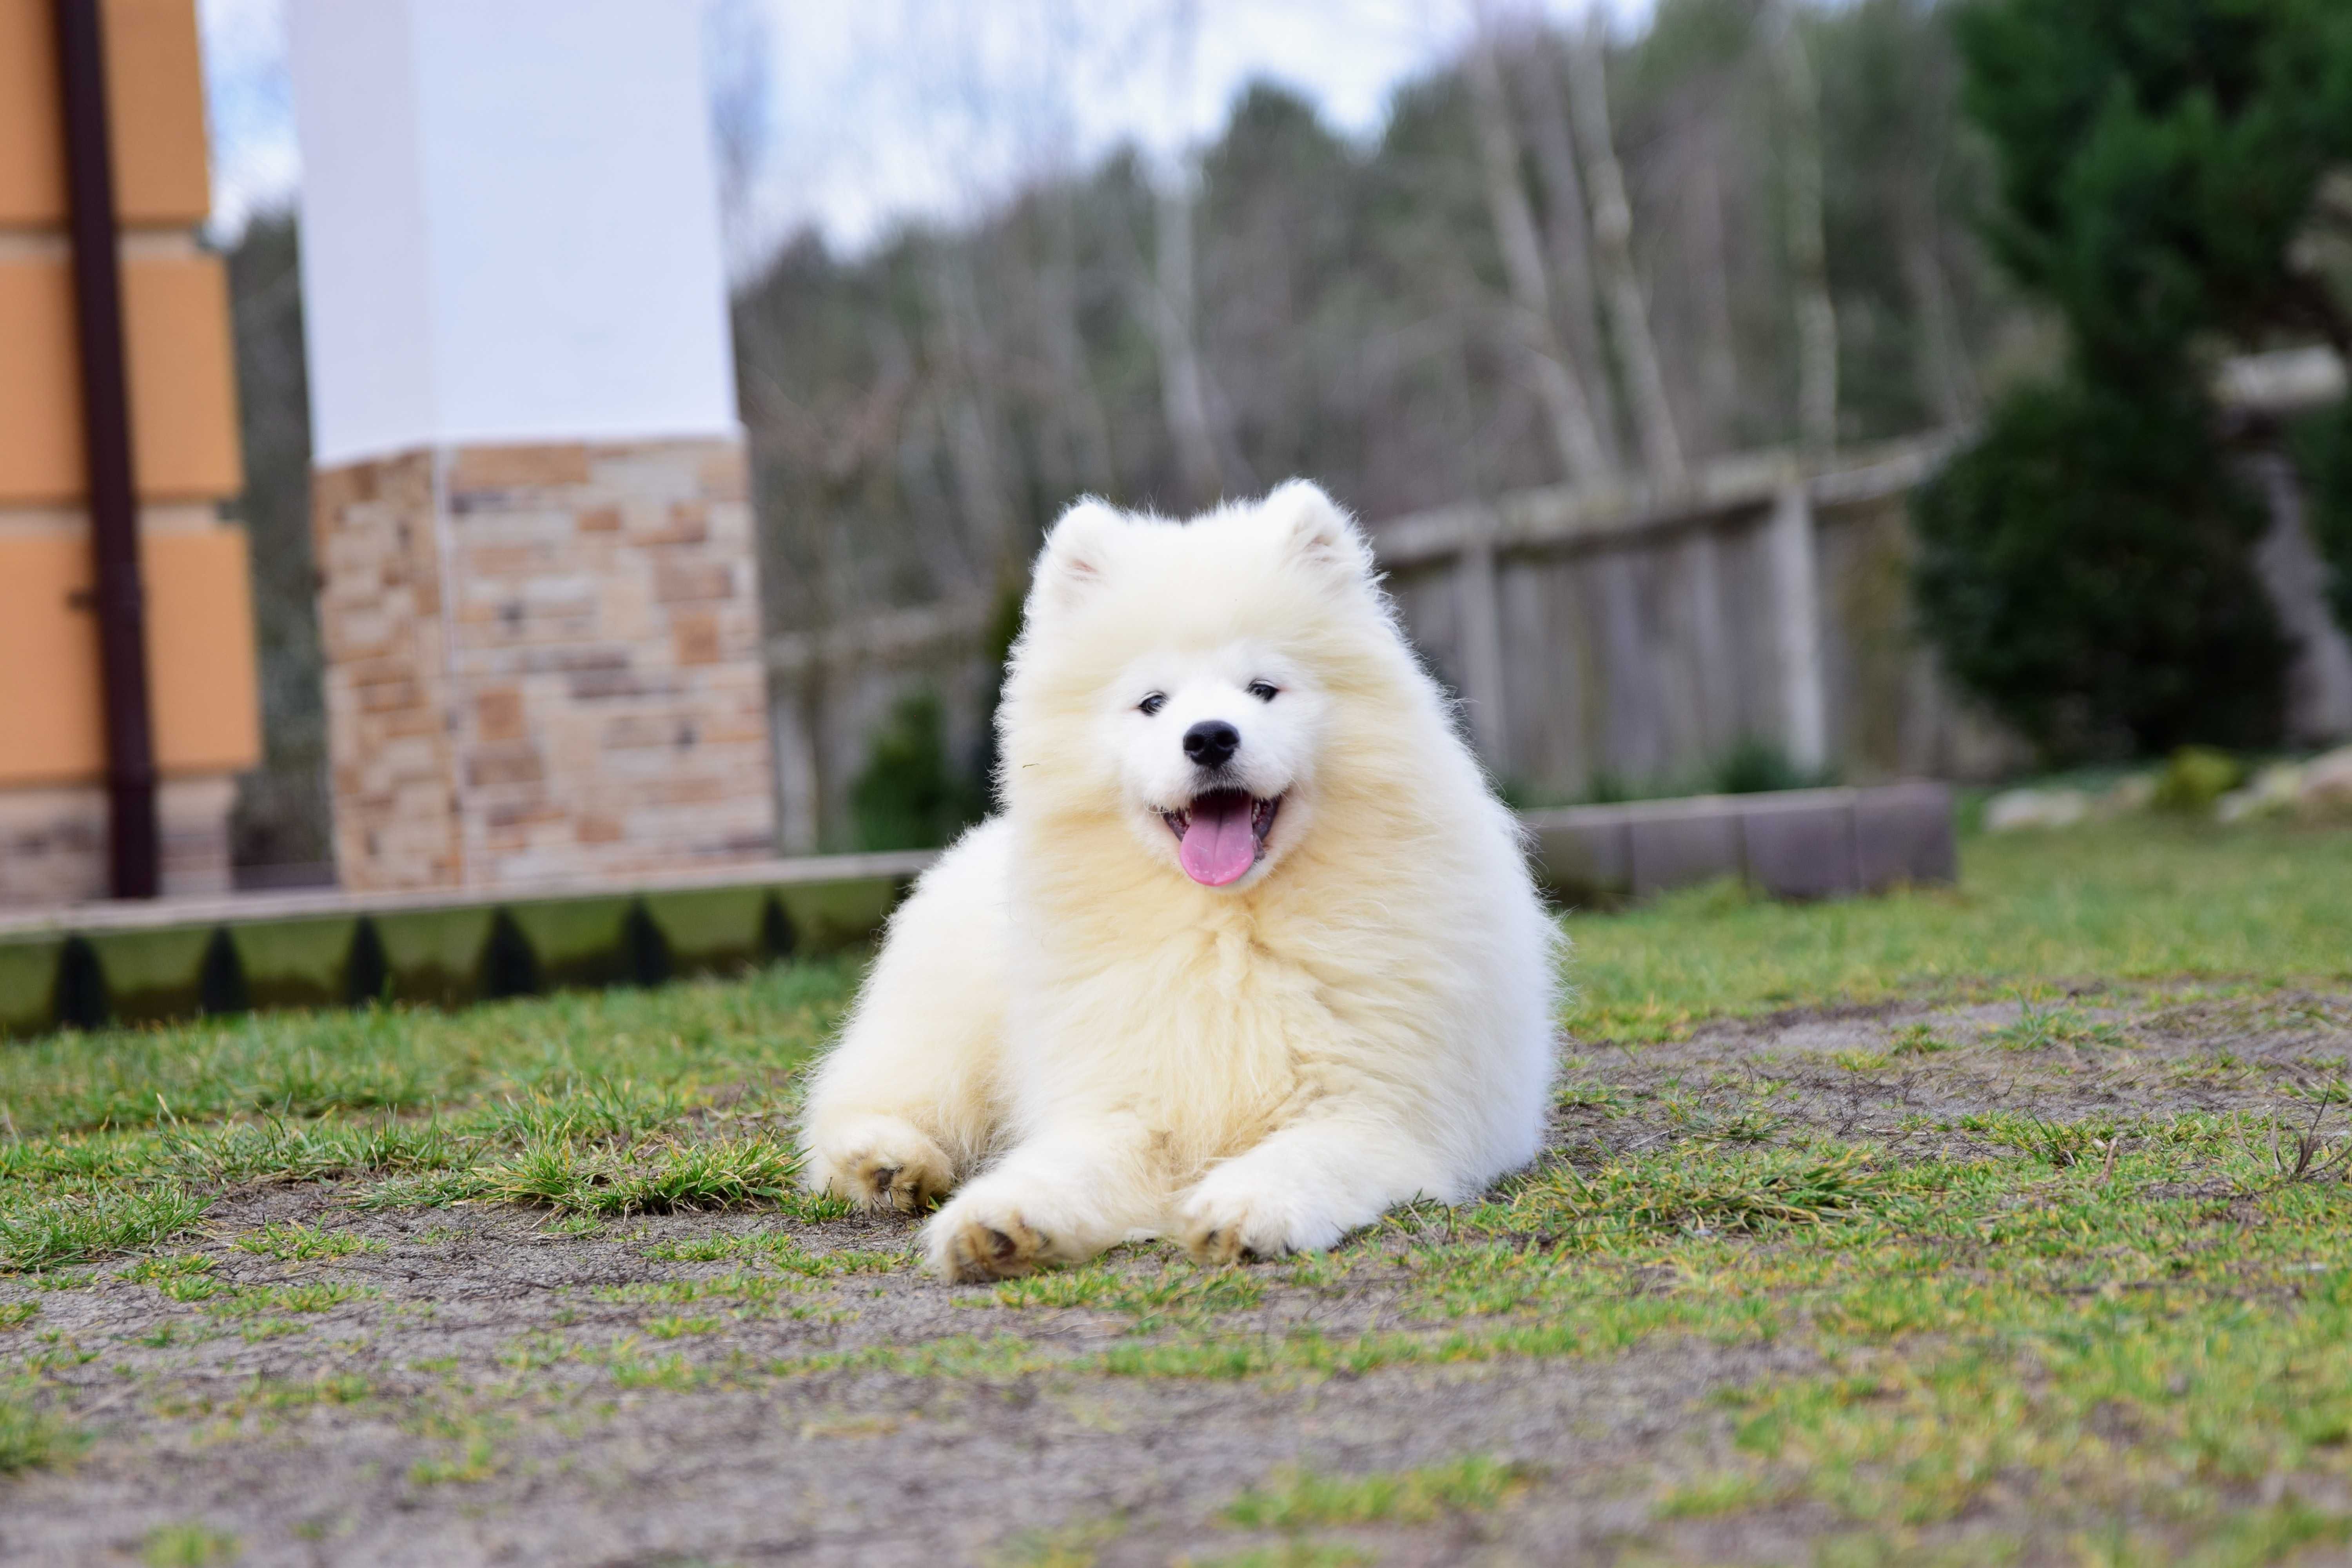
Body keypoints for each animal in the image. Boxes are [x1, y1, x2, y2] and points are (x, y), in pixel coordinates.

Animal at [804, 484, 1562, 1279]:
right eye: (1153, 703)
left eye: (1263, 689)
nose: (1210, 738)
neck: (1227, 928)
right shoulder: (1131, 1102)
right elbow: (1068, 1164)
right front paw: (1002, 1221)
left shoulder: (1374, 1110)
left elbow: (1300, 1157)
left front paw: (1242, 1209)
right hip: (941, 1035)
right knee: (862, 1097)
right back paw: (885, 1162)